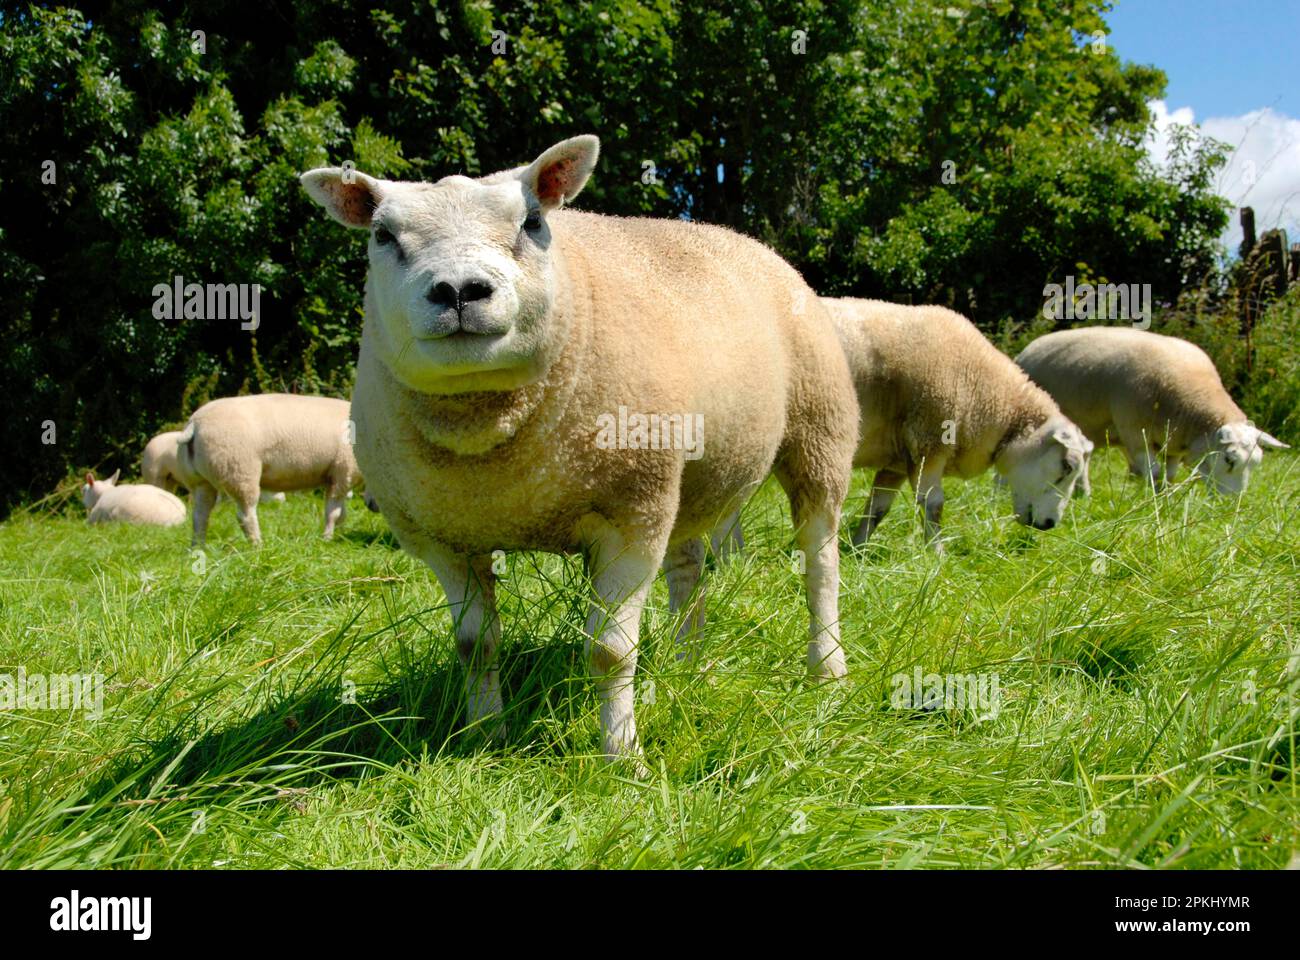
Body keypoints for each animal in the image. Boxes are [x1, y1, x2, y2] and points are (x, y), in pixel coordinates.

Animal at [173, 394, 362, 546]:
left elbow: (342, 514)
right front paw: (327, 539)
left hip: (199, 481)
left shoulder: (338, 477)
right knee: (245, 515)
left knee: (200, 516)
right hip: (240, 472)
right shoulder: (343, 471)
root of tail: (195, 424)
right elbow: (334, 513)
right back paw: (258, 546)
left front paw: (339, 536)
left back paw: (198, 548)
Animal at [301, 134, 860, 763]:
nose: (460, 291)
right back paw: (686, 662)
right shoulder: (445, 540)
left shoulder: (629, 518)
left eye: (533, 221)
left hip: (819, 432)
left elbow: (609, 653)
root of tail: (743, 239)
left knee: (820, 562)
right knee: (689, 568)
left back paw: (826, 668)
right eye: (382, 235)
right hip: (684, 475)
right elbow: (474, 644)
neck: (488, 443)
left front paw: (621, 754)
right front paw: (483, 737)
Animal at [822, 298, 1092, 549]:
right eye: (1067, 467)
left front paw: (858, 549)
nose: (1049, 524)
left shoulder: (896, 461)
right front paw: (936, 554)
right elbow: (933, 505)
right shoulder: (928, 442)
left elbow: (877, 509)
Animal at [1016, 326, 1288, 494]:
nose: (1233, 506)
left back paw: (1083, 493)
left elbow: (1169, 474)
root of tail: (1030, 348)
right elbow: (1155, 472)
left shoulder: (1174, 442)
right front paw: (1153, 499)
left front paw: (1165, 495)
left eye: (1256, 463)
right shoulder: (1136, 433)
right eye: (1230, 460)